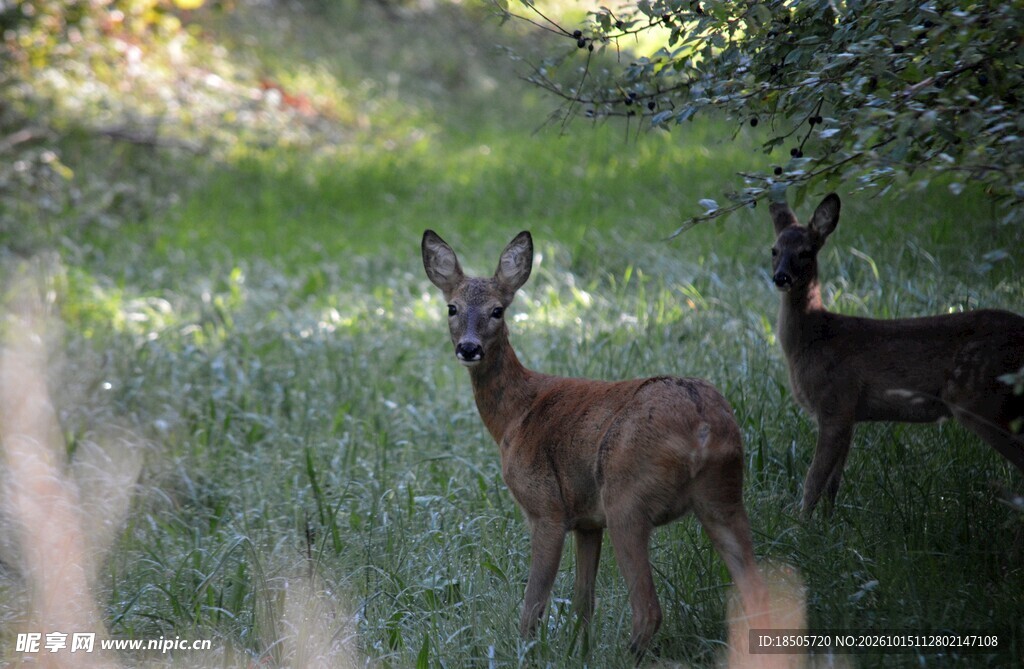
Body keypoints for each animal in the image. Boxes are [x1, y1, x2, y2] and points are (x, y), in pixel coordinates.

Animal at [422, 229, 769, 657]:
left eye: (498, 310)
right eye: (451, 307)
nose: (469, 348)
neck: (513, 417)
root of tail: (703, 424)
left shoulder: (547, 508)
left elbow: (534, 604)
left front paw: (525, 651)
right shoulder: (587, 521)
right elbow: (583, 601)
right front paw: (577, 650)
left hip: (627, 494)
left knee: (649, 609)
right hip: (724, 492)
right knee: (756, 590)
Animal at [769, 193, 1024, 516]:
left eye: (805, 252)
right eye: (774, 250)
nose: (781, 278)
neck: (813, 339)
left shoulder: (835, 401)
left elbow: (813, 481)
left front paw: (800, 524)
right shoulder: (850, 414)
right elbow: (832, 485)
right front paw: (827, 523)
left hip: (983, 398)